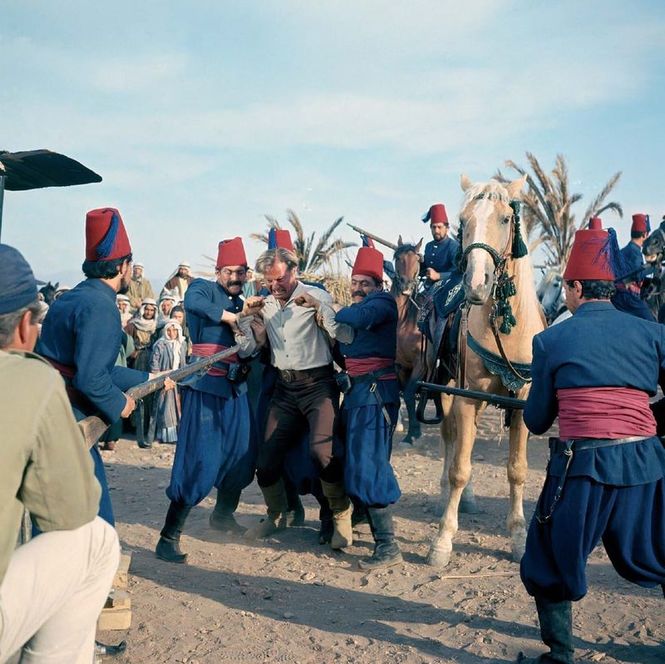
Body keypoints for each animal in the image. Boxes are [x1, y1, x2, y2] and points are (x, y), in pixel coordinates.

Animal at [428, 175, 548, 564]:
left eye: (506, 219)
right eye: (462, 220)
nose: (476, 283)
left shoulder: (522, 403)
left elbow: (518, 471)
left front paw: (518, 535)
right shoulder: (466, 398)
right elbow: (459, 469)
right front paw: (443, 540)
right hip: (447, 387)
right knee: (451, 440)